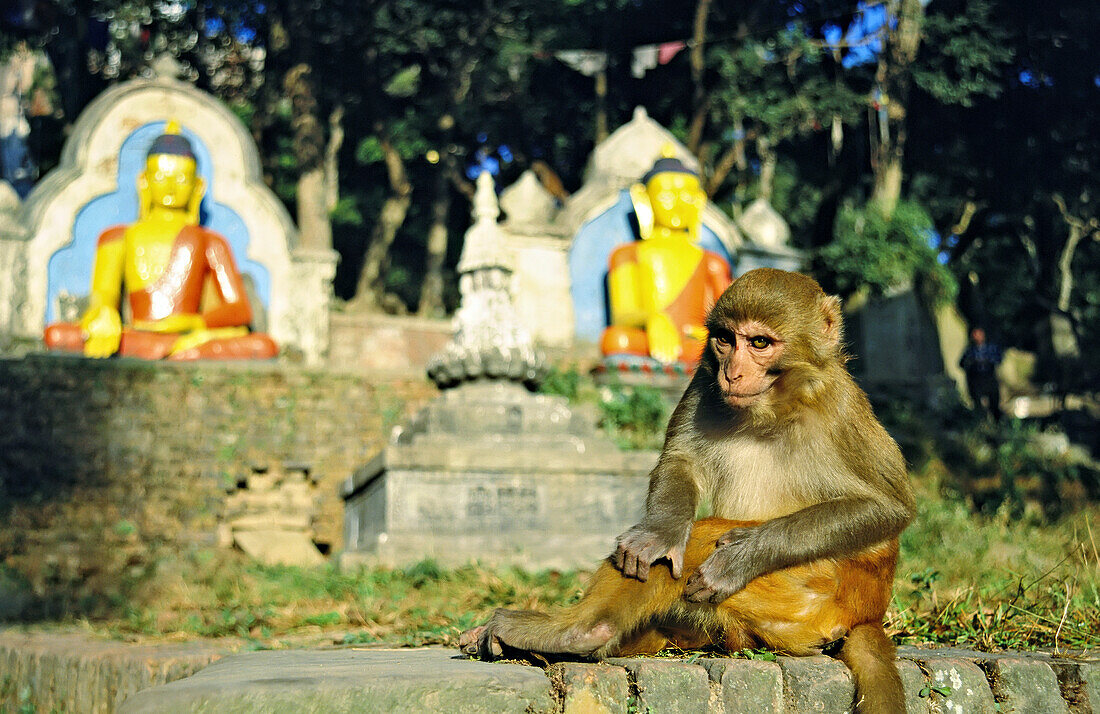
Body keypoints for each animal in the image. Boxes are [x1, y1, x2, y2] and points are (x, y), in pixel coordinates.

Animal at [459, 268, 915, 712]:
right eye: (726, 339)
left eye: (760, 342)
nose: (732, 372)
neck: (774, 408)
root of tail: (867, 612)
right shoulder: (702, 378)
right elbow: (681, 461)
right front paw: (660, 533)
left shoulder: (840, 405)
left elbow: (888, 508)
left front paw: (742, 555)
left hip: (817, 591)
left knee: (702, 538)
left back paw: (578, 632)